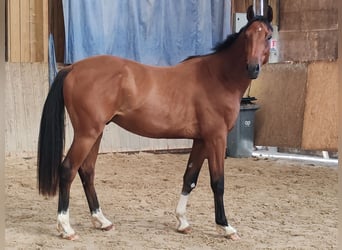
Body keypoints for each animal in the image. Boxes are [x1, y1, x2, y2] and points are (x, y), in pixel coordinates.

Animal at [37, 6, 272, 241]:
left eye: (268, 36)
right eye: (247, 36)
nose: (253, 68)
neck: (217, 77)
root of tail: (73, 68)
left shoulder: (201, 140)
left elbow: (190, 178)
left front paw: (182, 221)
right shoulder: (216, 138)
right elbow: (218, 182)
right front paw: (225, 226)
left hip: (96, 133)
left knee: (87, 171)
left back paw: (102, 221)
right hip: (87, 133)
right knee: (68, 170)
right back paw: (66, 228)